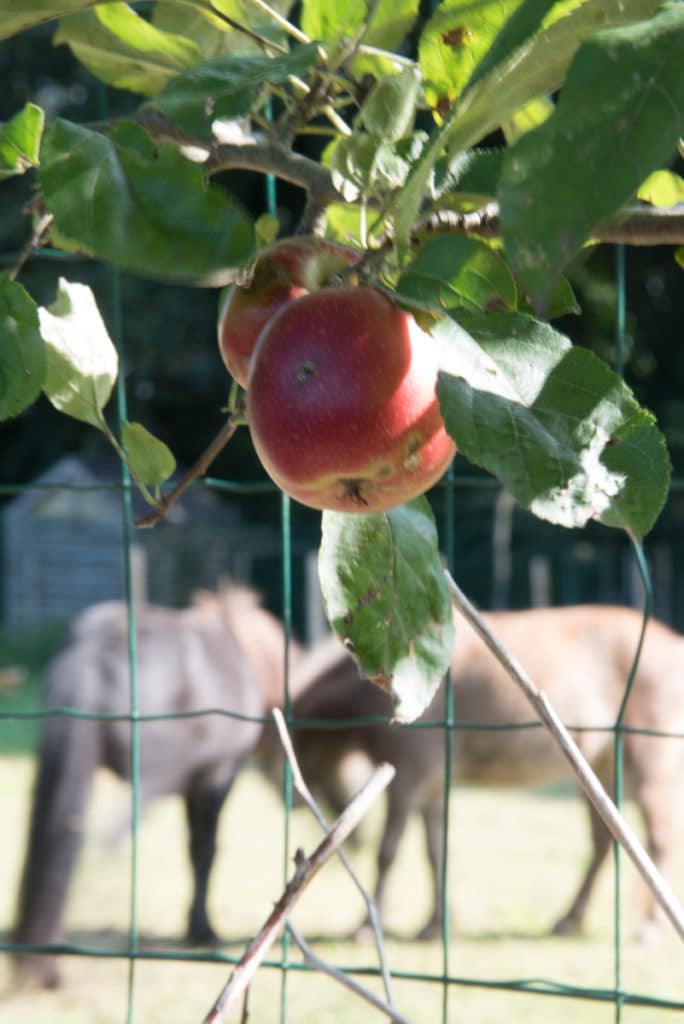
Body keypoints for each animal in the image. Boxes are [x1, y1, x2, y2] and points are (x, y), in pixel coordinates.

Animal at [12, 586, 297, 988]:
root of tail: (94, 649)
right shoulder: (216, 776)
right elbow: (205, 850)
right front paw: (201, 929)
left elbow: (193, 848)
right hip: (151, 783)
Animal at [270, 605, 684, 942]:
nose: (294, 804)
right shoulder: (432, 787)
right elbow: (434, 851)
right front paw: (434, 924)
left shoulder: (406, 777)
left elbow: (388, 852)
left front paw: (366, 928)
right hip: (602, 770)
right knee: (603, 841)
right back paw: (569, 919)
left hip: (649, 765)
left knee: (659, 841)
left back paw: (649, 927)